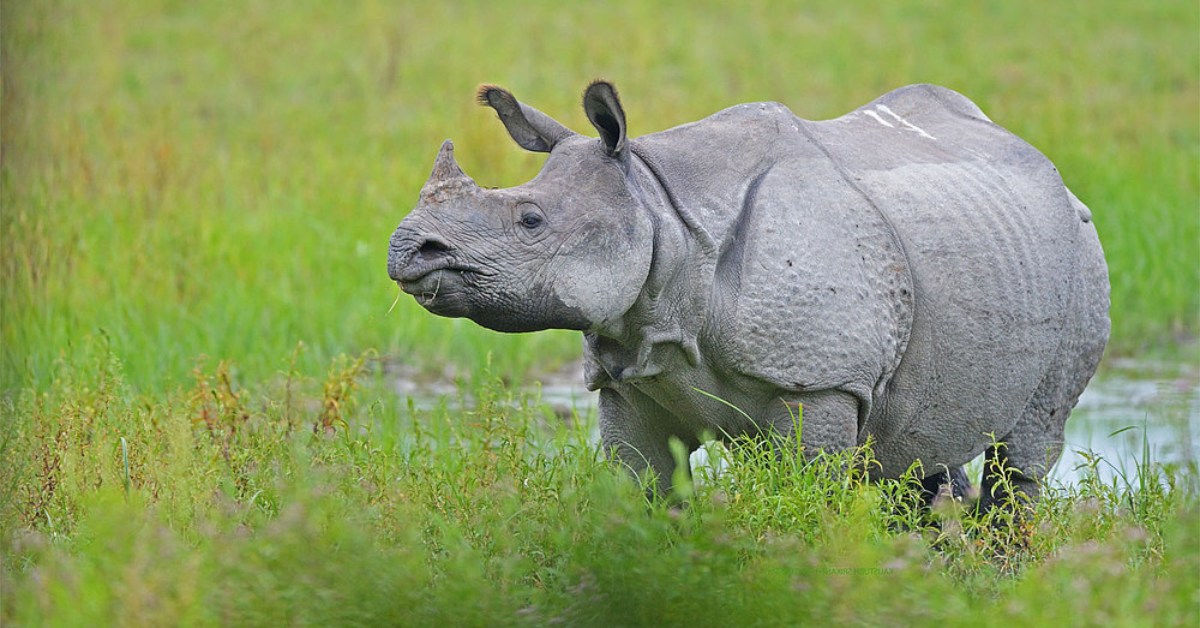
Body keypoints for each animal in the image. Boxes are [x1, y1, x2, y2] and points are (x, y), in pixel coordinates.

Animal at [387, 81, 1110, 509]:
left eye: (530, 221)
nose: (406, 248)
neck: (661, 207)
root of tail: (1041, 160)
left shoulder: (820, 380)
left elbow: (805, 500)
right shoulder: (629, 377)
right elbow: (644, 491)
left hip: (1083, 251)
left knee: (1024, 452)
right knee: (917, 453)